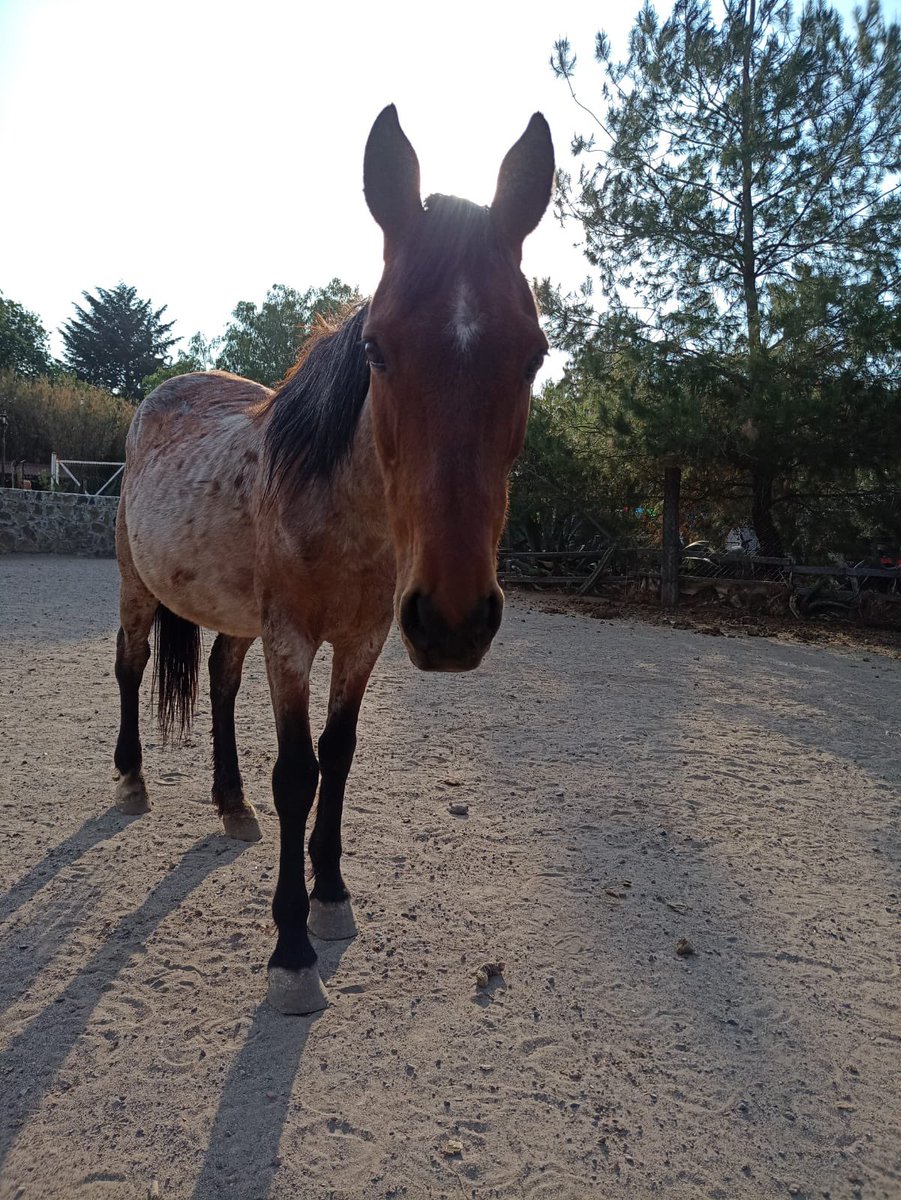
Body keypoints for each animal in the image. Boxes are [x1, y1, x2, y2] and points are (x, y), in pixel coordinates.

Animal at [112, 105, 554, 1014]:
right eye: (377, 349)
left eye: (532, 353)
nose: (453, 621)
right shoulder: (293, 641)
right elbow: (298, 770)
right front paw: (290, 950)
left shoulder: (362, 642)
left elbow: (340, 757)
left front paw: (333, 898)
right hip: (137, 588)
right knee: (132, 667)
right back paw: (132, 781)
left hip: (237, 618)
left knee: (219, 678)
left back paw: (231, 802)